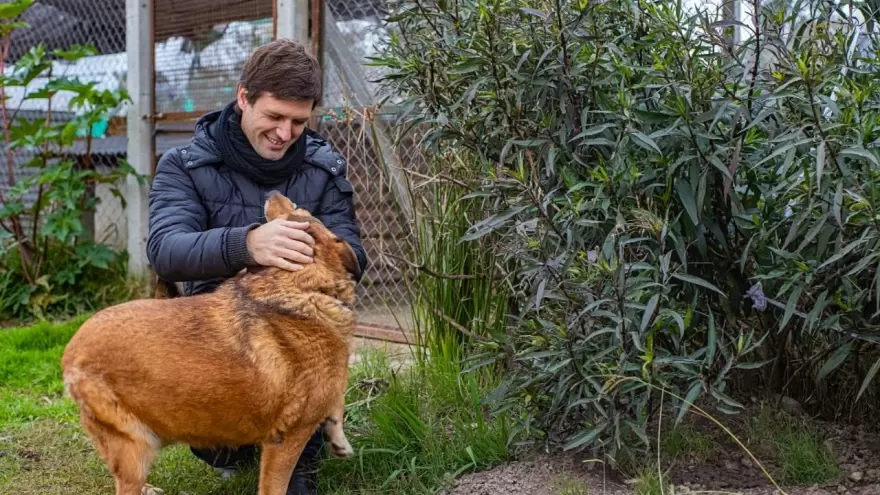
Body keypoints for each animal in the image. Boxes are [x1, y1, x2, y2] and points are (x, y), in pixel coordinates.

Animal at [61, 191, 360, 495]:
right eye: (303, 210)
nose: (272, 193)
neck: (302, 288)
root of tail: (71, 352)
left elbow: (337, 398)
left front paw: (337, 435)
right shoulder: (286, 439)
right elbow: (274, 487)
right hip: (135, 448)